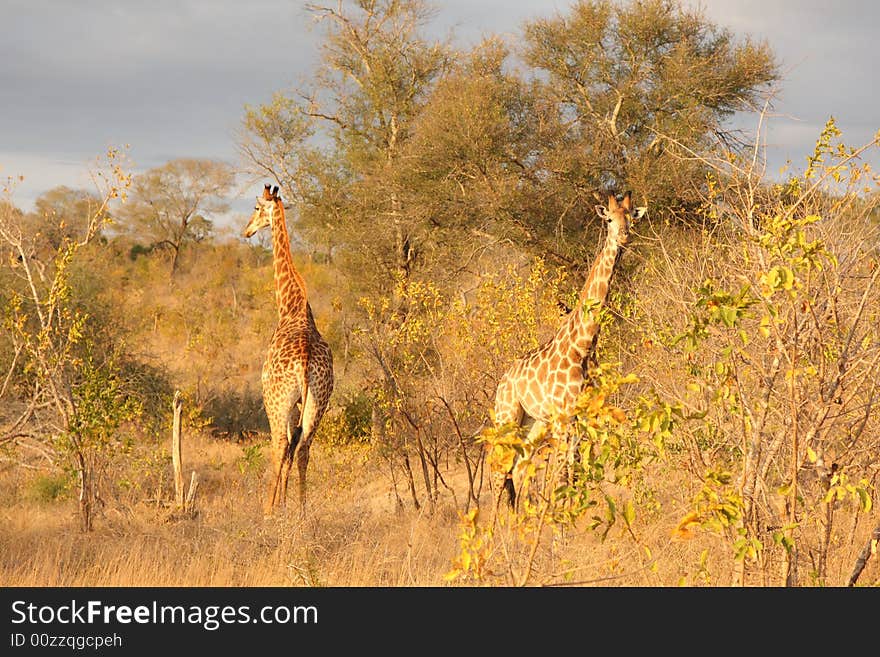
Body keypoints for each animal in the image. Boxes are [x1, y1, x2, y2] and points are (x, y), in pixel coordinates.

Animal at [242, 182, 336, 516]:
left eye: (257, 208)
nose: (246, 230)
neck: (291, 306)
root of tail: (306, 361)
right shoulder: (301, 403)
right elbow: (296, 450)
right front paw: (286, 503)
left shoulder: (280, 398)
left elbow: (283, 450)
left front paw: (277, 506)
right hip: (319, 401)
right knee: (304, 446)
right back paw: (303, 510)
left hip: (275, 400)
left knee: (279, 445)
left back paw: (267, 511)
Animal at [488, 190, 648, 508]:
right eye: (609, 220)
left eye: (631, 218)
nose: (624, 237)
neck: (583, 346)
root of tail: (502, 381)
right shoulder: (564, 416)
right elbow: (564, 472)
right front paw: (562, 514)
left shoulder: (583, 415)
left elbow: (578, 470)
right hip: (507, 416)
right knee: (501, 468)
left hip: (534, 423)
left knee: (519, 465)